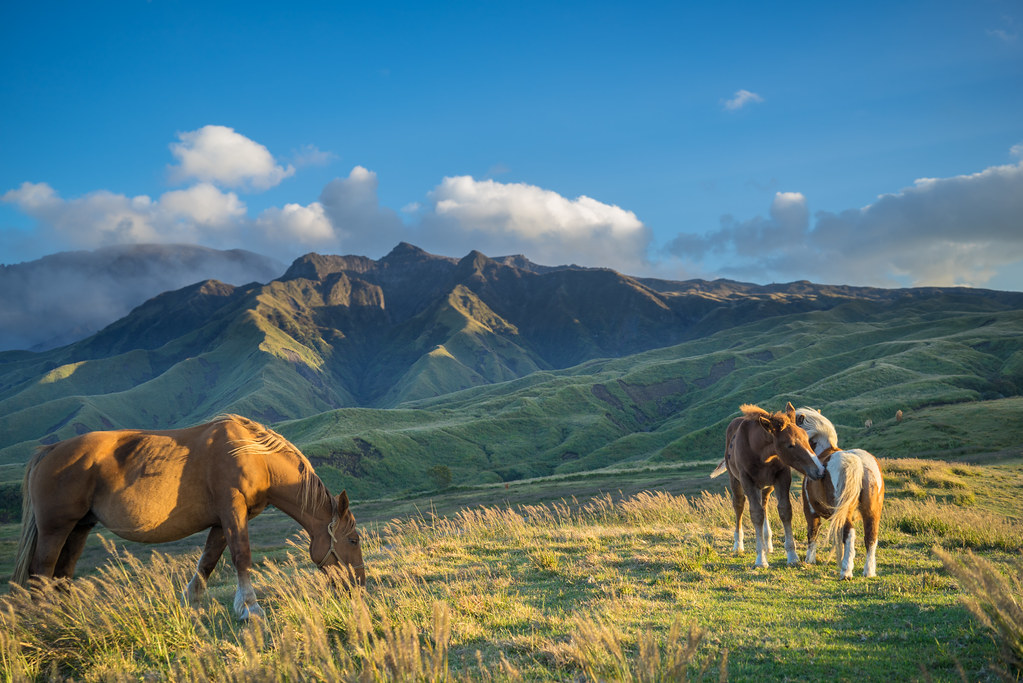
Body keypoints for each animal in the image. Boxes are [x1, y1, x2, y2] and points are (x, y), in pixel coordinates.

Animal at [12, 413, 364, 617]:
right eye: (353, 540)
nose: (358, 583)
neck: (253, 455)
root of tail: (48, 451)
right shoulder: (232, 510)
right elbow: (242, 556)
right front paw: (251, 608)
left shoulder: (224, 520)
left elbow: (208, 561)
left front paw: (192, 602)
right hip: (56, 529)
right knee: (42, 572)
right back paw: (46, 620)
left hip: (79, 528)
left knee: (62, 573)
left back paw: (67, 618)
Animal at [707, 402, 826, 568]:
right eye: (790, 445)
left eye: (807, 439)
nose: (819, 470)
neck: (760, 452)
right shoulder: (747, 481)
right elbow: (756, 514)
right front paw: (760, 559)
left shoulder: (782, 476)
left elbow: (784, 510)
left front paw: (792, 556)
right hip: (735, 480)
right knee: (739, 505)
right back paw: (738, 545)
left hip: (766, 486)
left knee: (764, 504)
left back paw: (767, 543)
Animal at [793, 408, 883, 580]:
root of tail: (859, 463)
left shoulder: (810, 510)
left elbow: (812, 532)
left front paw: (809, 560)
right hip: (872, 512)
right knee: (871, 537)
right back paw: (868, 572)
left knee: (850, 534)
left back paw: (846, 571)